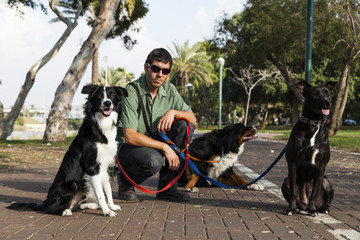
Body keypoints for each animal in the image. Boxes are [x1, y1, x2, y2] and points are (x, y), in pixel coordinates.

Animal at [7, 85, 129, 218]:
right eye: (100, 96)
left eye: (112, 95)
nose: (107, 103)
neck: (102, 124)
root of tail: (46, 202)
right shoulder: (92, 167)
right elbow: (101, 193)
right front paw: (106, 210)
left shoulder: (105, 166)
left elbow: (108, 189)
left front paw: (111, 206)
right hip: (72, 185)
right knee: (50, 209)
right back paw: (65, 211)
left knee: (76, 206)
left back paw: (90, 205)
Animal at [282, 80, 338, 218]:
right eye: (315, 94)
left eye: (328, 93)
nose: (328, 101)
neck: (313, 123)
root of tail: (304, 204)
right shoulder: (293, 164)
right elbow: (293, 192)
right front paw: (291, 209)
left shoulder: (320, 166)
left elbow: (313, 193)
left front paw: (312, 210)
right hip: (285, 181)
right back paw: (297, 208)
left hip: (328, 184)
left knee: (326, 201)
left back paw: (323, 209)